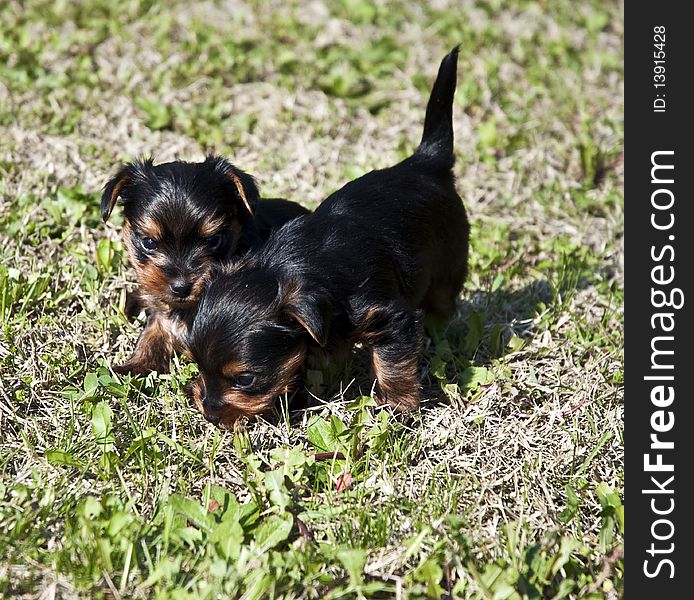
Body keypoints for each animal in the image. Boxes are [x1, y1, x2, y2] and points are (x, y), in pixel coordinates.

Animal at [100, 155, 310, 372]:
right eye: (148, 242)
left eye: (213, 240)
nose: (181, 287)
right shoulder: (163, 314)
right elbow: (152, 334)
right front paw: (132, 365)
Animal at [188, 49, 470, 426]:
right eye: (197, 365)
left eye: (245, 378)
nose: (209, 411)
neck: (295, 266)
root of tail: (426, 161)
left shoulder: (392, 318)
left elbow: (394, 364)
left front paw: (397, 406)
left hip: (448, 262)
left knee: (442, 302)